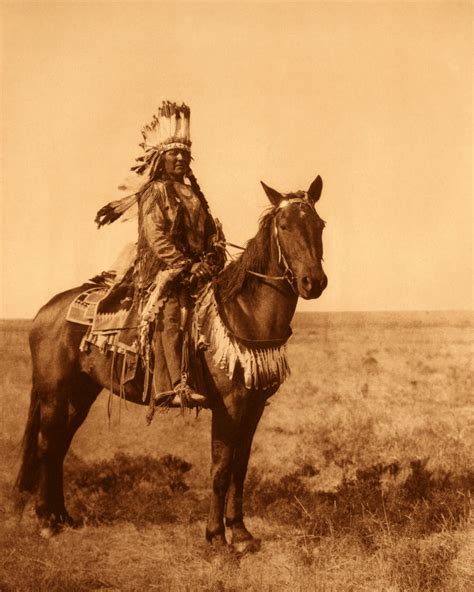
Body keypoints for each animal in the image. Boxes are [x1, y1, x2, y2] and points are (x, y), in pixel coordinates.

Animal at [13, 175, 326, 552]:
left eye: (319, 225)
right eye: (284, 226)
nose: (314, 282)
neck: (246, 312)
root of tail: (44, 311)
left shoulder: (254, 406)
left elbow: (240, 468)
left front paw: (241, 533)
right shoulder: (229, 407)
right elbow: (221, 469)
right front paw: (216, 536)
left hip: (80, 393)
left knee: (60, 446)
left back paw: (64, 518)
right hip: (54, 394)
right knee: (47, 446)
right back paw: (46, 521)